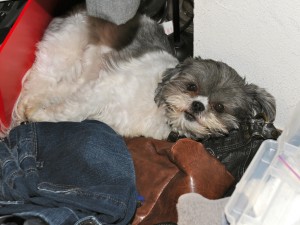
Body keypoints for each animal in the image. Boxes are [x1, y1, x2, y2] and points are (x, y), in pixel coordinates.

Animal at [10, 6, 276, 140]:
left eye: (220, 108)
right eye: (191, 87)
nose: (198, 105)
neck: (157, 105)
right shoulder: (101, 90)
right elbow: (69, 112)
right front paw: (40, 116)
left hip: (80, 73)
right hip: (65, 49)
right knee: (39, 81)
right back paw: (26, 109)